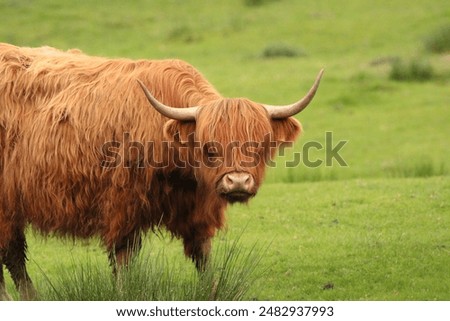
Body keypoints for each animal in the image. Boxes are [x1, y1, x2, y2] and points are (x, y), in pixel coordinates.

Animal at [0, 41, 324, 298]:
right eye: (210, 148)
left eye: (259, 146)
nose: (238, 182)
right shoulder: (122, 205)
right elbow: (124, 257)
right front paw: (124, 294)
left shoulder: (196, 208)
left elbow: (202, 254)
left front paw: (212, 292)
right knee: (12, 253)